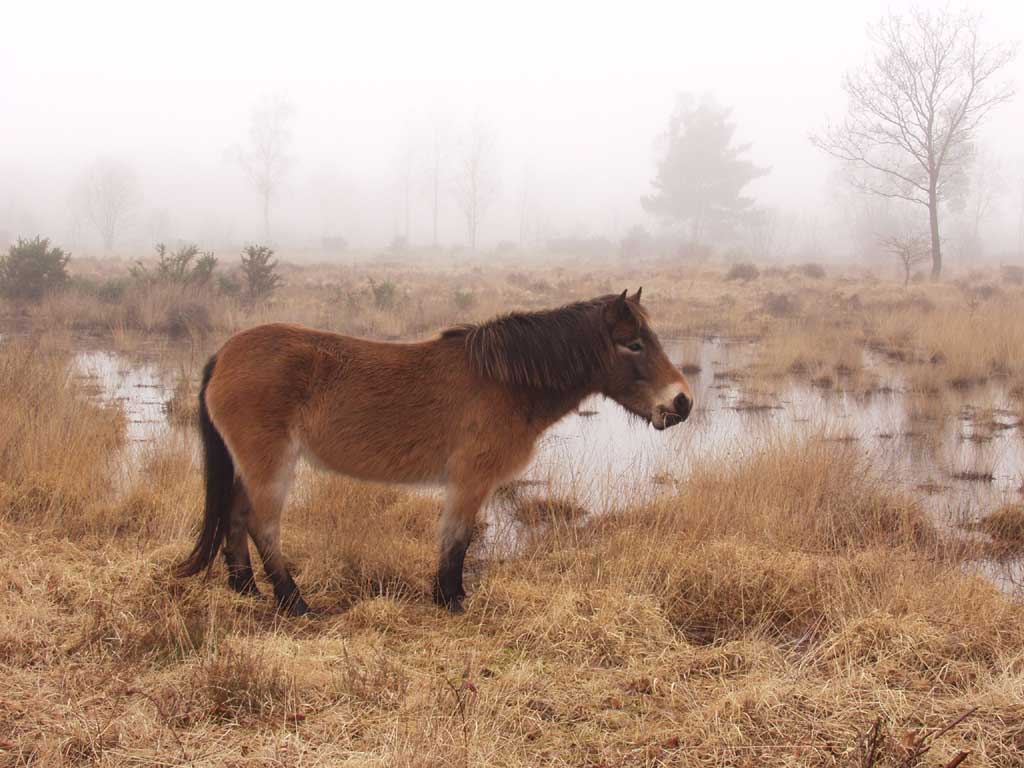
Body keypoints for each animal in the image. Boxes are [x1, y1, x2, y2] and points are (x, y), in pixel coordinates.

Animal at [178, 290, 696, 618]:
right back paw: (294, 603)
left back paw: (246, 591)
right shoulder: (470, 480)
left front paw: (448, 595)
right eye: (634, 344)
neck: (504, 380)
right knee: (262, 524)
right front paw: (452, 600)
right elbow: (457, 539)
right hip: (272, 465)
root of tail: (224, 354)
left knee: (236, 515)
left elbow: (455, 540)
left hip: (250, 465)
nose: (682, 403)